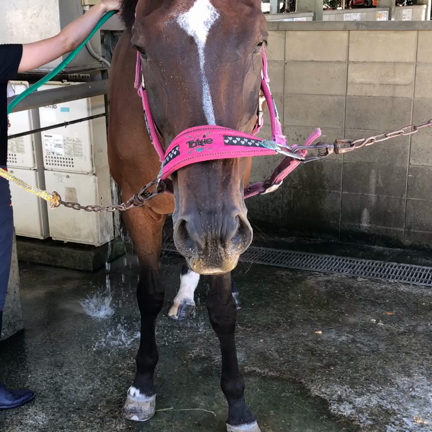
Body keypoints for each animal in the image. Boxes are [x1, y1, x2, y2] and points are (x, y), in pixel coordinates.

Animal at [108, 1, 267, 430]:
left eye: (259, 42)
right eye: (142, 50)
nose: (209, 231)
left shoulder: (231, 217)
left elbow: (223, 308)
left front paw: (238, 405)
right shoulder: (136, 207)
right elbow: (148, 295)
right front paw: (143, 386)